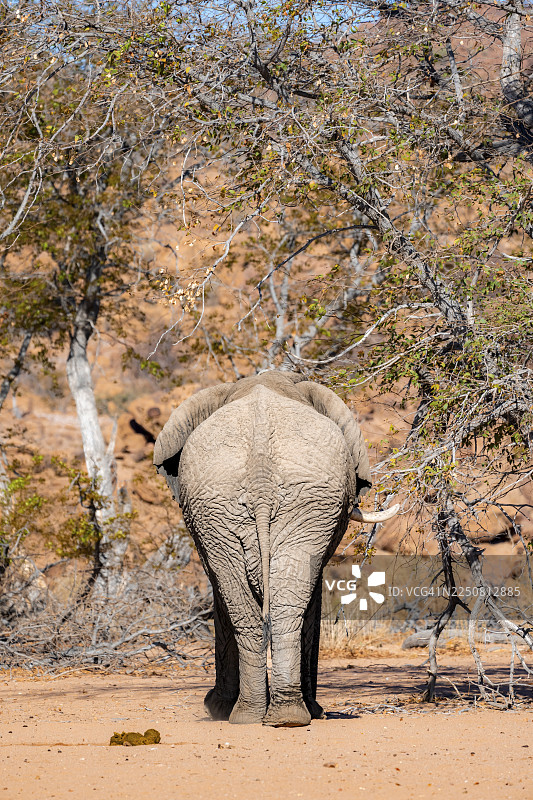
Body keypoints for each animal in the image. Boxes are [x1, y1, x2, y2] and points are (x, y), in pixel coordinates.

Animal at [154, 369, 398, 727]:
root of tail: (260, 475)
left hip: (287, 504)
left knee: (259, 607)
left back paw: (270, 715)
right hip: (233, 507)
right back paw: (272, 715)